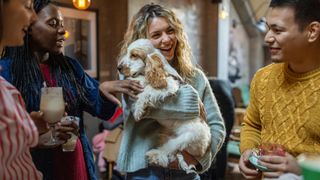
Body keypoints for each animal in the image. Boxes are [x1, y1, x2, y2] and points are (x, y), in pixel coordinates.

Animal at [117, 38, 210, 172]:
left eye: (134, 55)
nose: (118, 68)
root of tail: (204, 148)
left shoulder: (169, 85)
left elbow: (148, 90)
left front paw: (139, 109)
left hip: (187, 137)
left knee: (168, 150)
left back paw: (154, 155)